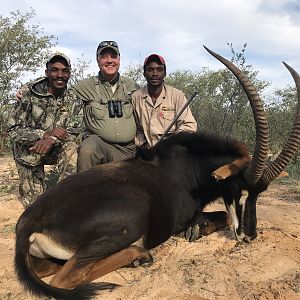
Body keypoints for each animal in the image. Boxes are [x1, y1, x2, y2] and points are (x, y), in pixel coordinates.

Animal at [14, 45, 300, 298]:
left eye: (259, 193)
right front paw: (198, 228)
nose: (250, 236)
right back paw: (139, 254)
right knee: (66, 277)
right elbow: (225, 217)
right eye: (238, 187)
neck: (189, 166)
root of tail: (30, 222)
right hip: (130, 219)